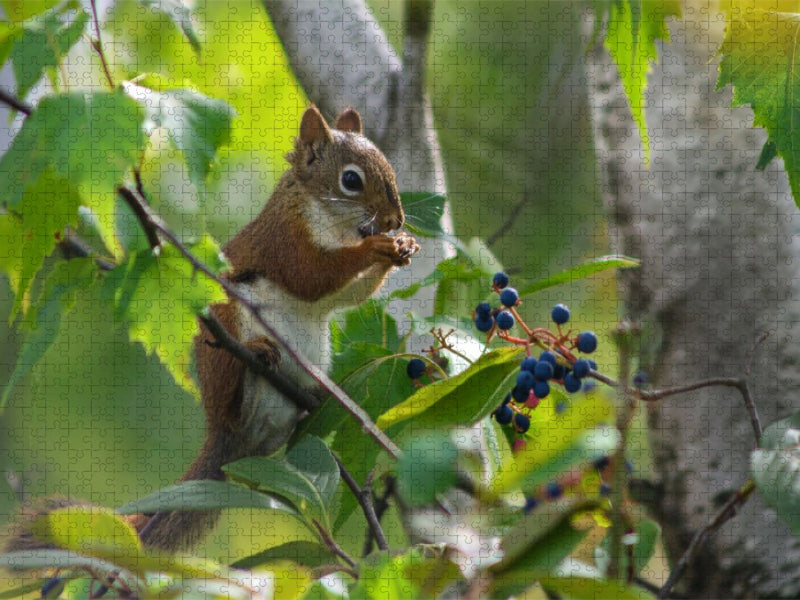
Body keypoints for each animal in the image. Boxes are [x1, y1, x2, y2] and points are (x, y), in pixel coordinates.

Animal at [5, 106, 419, 554]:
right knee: (233, 399)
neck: (326, 218)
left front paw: (402, 248)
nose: (395, 220)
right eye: (351, 180)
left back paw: (318, 394)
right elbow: (311, 275)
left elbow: (347, 295)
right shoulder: (283, 239)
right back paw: (257, 356)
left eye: (389, 168)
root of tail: (223, 434)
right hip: (227, 334)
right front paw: (377, 248)